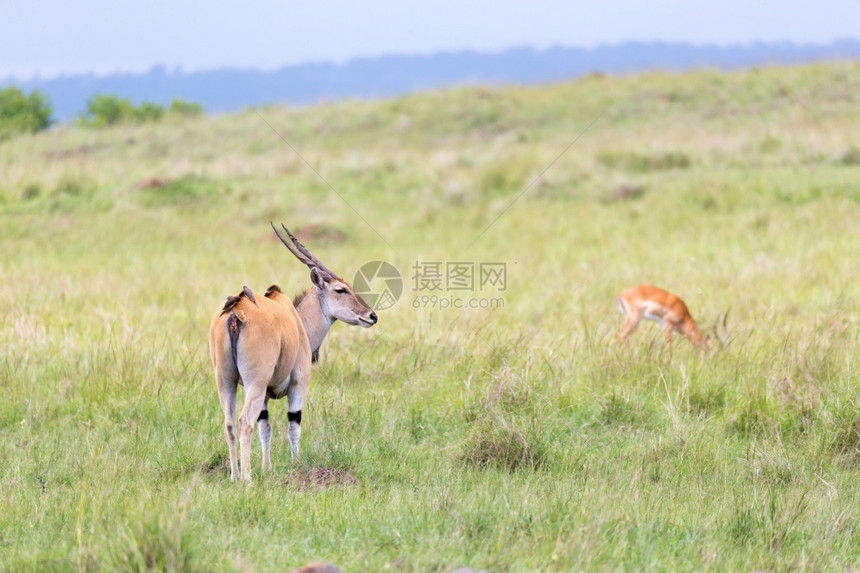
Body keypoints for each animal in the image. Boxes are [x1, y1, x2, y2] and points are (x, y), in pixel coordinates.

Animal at [209, 223, 376, 478]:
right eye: (341, 290)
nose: (371, 316)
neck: (297, 321)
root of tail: (236, 311)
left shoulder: (264, 396)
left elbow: (265, 427)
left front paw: (267, 468)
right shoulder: (298, 384)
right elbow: (293, 425)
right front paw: (296, 466)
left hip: (226, 381)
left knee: (229, 424)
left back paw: (234, 476)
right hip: (254, 383)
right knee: (244, 422)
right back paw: (246, 479)